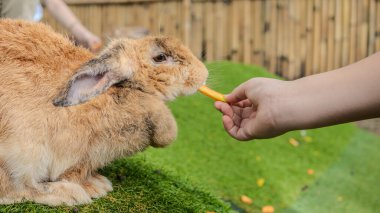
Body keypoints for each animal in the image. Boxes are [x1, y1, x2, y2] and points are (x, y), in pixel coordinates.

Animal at [0, 19, 208, 206]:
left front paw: (96, 184)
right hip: (21, 153)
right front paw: (92, 188)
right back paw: (70, 195)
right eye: (160, 57)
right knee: (18, 189)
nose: (203, 72)